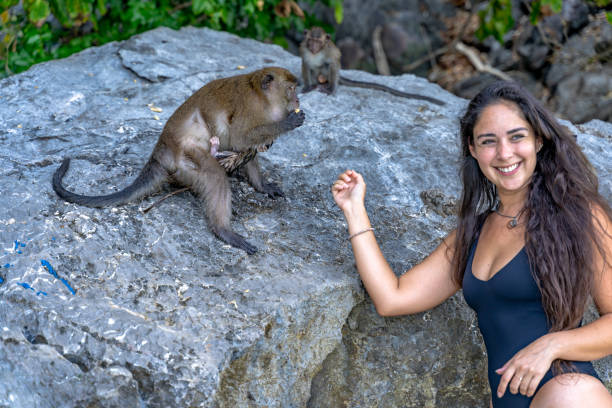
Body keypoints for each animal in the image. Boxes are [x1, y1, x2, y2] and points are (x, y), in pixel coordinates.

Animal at [51, 66, 304, 255]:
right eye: (291, 89)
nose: (297, 100)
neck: (261, 96)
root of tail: (160, 151)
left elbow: (246, 147)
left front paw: (262, 186)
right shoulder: (250, 109)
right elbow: (241, 137)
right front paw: (288, 122)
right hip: (185, 158)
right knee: (214, 175)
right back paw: (222, 230)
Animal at [300, 25, 444, 105]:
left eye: (318, 42)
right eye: (311, 41)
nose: (313, 47)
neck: (316, 52)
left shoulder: (328, 51)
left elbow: (333, 63)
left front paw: (331, 89)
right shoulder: (304, 50)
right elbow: (306, 64)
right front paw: (308, 86)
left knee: (327, 66)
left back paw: (325, 84)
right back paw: (315, 84)